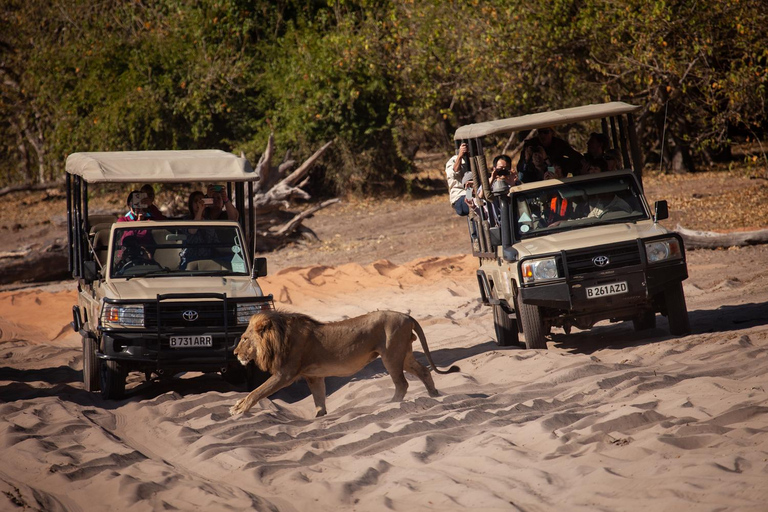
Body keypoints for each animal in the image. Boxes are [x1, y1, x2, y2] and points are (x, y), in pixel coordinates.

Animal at [228, 310, 456, 418]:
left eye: (245, 339)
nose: (235, 353)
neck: (279, 337)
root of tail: (407, 315)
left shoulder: (285, 374)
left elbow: (257, 391)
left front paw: (238, 409)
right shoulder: (313, 376)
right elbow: (319, 398)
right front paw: (319, 416)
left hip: (391, 355)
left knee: (402, 383)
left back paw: (390, 403)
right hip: (404, 355)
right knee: (424, 371)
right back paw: (435, 395)